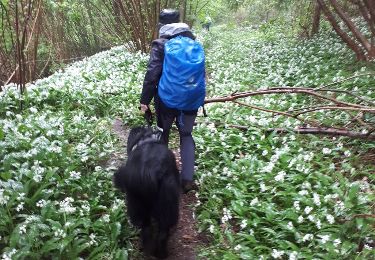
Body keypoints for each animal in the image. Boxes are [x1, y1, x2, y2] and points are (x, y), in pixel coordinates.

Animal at [113, 126, 181, 258]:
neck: (148, 140)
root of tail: (149, 173)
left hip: (137, 204)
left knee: (146, 229)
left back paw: (147, 250)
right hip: (167, 205)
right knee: (162, 233)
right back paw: (161, 254)